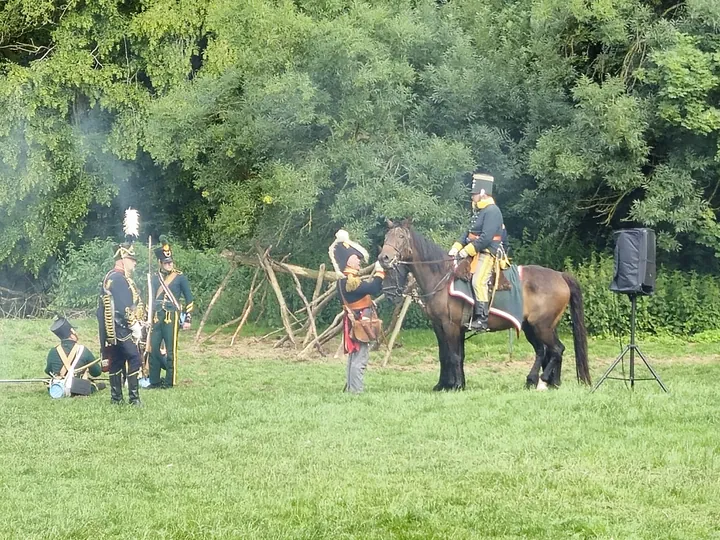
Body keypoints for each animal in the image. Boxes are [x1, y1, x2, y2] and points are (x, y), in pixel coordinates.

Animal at [376, 219, 592, 392]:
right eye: (387, 236)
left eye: (401, 236)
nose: (384, 257)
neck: (443, 277)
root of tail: (560, 275)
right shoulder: (442, 327)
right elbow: (447, 355)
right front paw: (444, 384)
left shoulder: (450, 326)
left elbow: (454, 355)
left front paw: (456, 385)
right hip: (534, 327)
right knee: (545, 351)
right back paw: (548, 381)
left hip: (542, 327)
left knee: (556, 349)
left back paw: (544, 380)